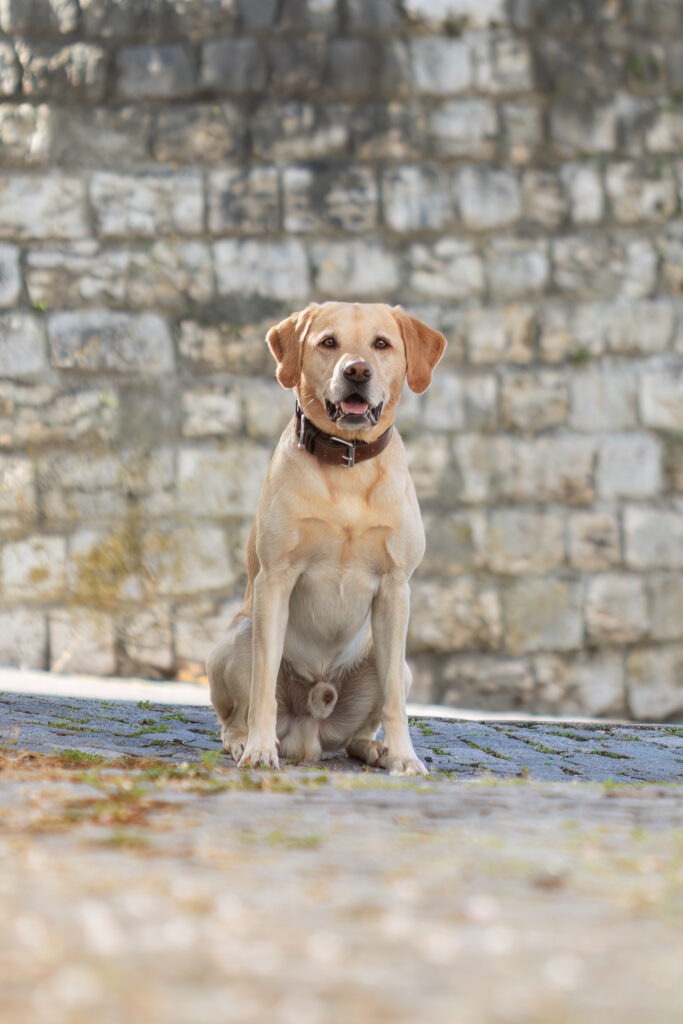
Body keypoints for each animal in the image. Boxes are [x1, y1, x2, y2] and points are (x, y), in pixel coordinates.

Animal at [205, 303, 446, 774]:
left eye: (381, 344)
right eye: (328, 342)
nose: (357, 371)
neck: (347, 463)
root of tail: (309, 732)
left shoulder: (396, 588)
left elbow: (395, 701)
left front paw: (404, 757)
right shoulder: (275, 579)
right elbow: (262, 690)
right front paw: (260, 750)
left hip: (394, 662)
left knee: (359, 730)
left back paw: (375, 748)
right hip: (239, 637)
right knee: (235, 714)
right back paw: (245, 740)